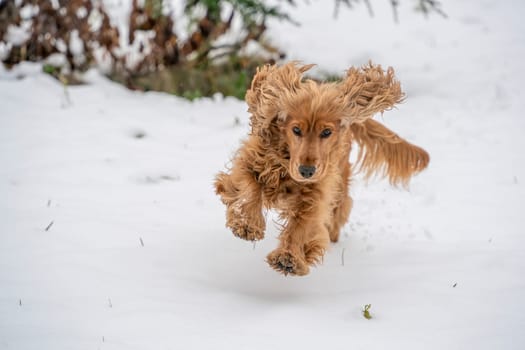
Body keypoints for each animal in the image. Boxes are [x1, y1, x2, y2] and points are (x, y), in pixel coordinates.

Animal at [215, 62, 428, 276]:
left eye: (326, 132)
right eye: (296, 130)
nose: (307, 171)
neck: (286, 163)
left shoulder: (316, 194)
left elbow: (302, 225)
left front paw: (290, 257)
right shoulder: (251, 163)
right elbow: (249, 189)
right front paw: (247, 224)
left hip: (340, 189)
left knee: (336, 216)